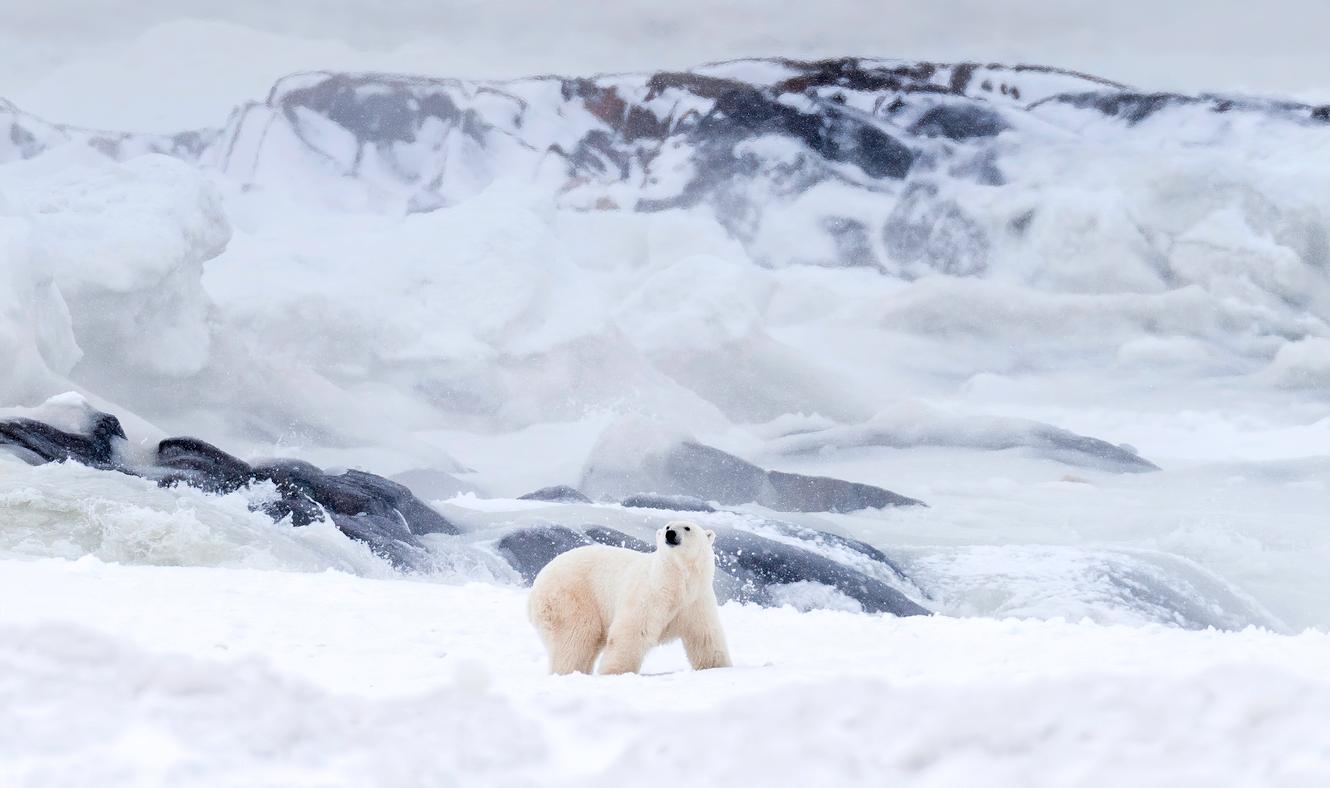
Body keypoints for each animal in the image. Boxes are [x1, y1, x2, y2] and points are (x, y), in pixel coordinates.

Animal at [526, 519, 734, 673]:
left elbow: (705, 635)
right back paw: (569, 671)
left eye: (687, 527)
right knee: (576, 636)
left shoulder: (696, 599)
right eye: (667, 526)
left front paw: (719, 667)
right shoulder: (650, 593)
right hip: (570, 596)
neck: (676, 581)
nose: (670, 534)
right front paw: (615, 672)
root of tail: (535, 588)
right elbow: (633, 631)